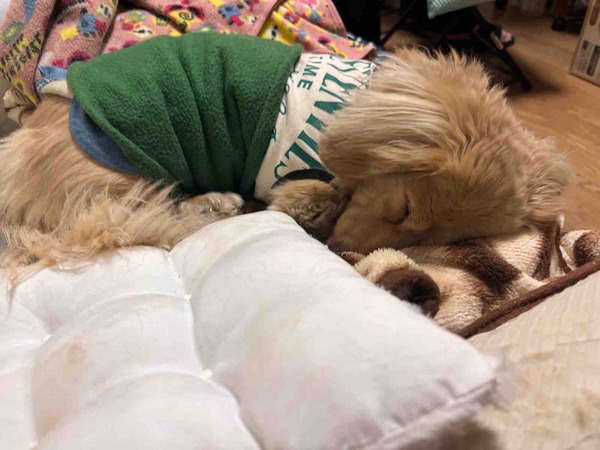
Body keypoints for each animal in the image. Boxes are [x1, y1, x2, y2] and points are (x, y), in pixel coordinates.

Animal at [0, 41, 573, 285]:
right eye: (405, 208)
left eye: (431, 238)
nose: (340, 251)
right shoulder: (296, 183)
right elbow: (318, 197)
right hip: (125, 174)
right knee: (138, 219)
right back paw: (218, 204)